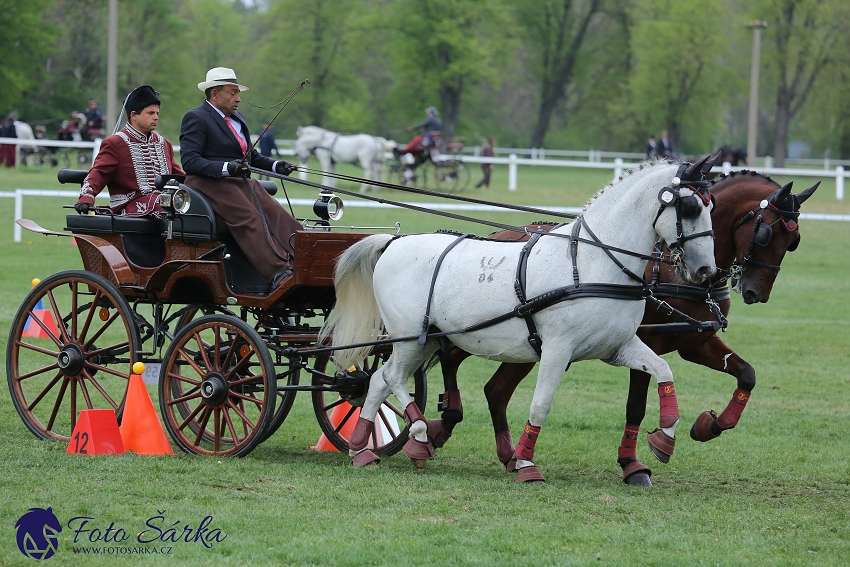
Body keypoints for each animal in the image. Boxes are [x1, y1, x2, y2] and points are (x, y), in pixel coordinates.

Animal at [424, 168, 816, 484]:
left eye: (793, 242)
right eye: (765, 234)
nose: (755, 292)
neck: (671, 270)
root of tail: (498, 235)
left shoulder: (695, 342)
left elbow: (746, 374)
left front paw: (711, 426)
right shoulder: (646, 341)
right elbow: (636, 406)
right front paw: (633, 463)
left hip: (521, 345)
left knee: (494, 389)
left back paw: (506, 453)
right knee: (450, 356)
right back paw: (443, 424)